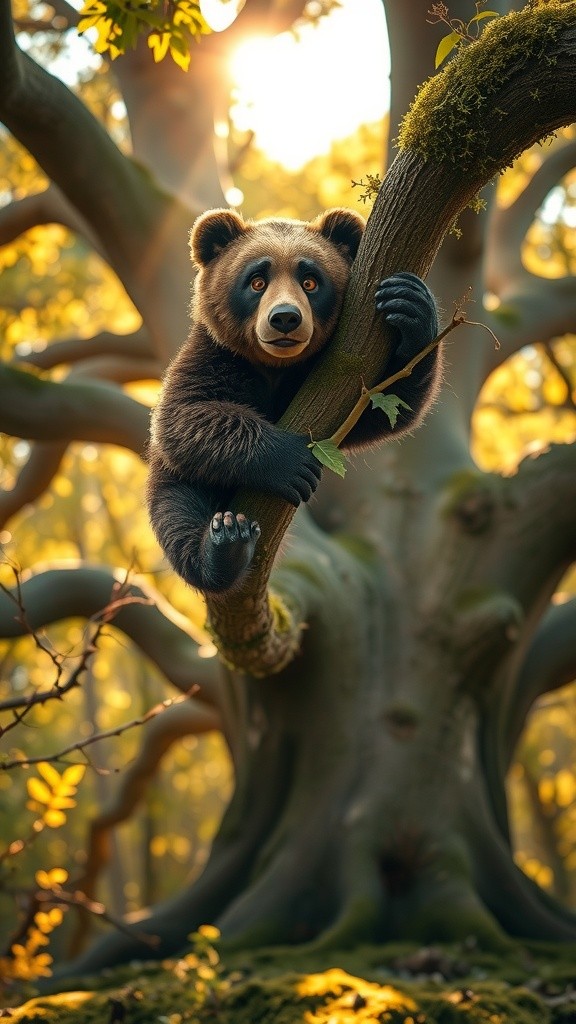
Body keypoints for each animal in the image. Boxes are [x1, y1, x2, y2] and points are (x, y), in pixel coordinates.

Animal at [146, 207, 440, 594]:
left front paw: (409, 303)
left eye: (310, 281)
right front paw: (292, 461)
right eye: (257, 280)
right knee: (177, 514)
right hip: (174, 481)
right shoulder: (216, 358)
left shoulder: (327, 375)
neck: (276, 369)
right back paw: (225, 544)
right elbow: (183, 417)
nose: (285, 317)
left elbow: (386, 406)